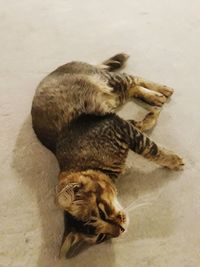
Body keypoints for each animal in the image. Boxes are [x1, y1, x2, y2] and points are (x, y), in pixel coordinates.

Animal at [31, 52, 184, 255]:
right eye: (101, 237)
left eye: (101, 212)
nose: (120, 229)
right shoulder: (120, 123)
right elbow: (142, 128)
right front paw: (151, 117)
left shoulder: (117, 126)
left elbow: (151, 148)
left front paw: (172, 160)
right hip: (114, 95)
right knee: (132, 87)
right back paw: (155, 98)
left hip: (111, 82)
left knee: (132, 77)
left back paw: (160, 91)